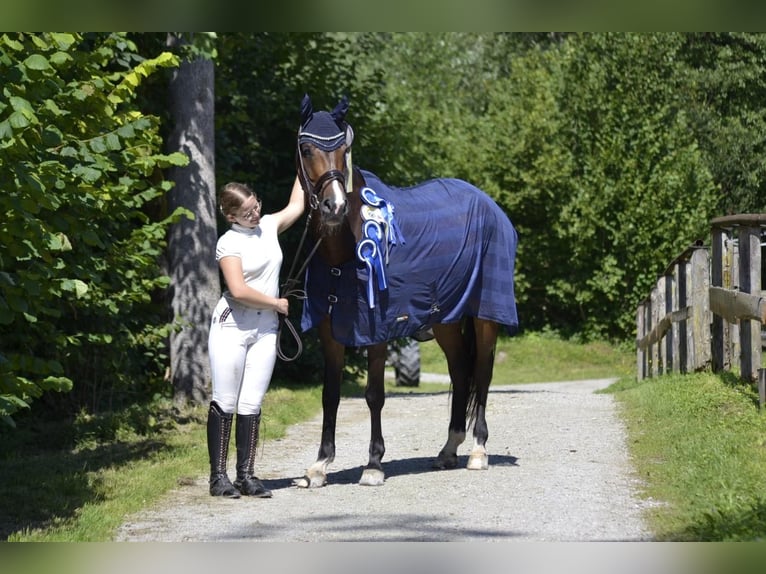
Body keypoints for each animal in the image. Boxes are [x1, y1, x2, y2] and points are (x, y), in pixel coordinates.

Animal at [292, 95, 520, 490]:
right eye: (307, 149)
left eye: (344, 150)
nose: (334, 206)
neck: (345, 248)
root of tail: (490, 206)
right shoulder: (329, 330)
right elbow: (330, 395)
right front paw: (319, 465)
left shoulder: (377, 330)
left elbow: (374, 395)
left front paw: (373, 465)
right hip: (445, 320)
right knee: (460, 370)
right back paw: (448, 450)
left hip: (485, 315)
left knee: (482, 373)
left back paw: (478, 451)